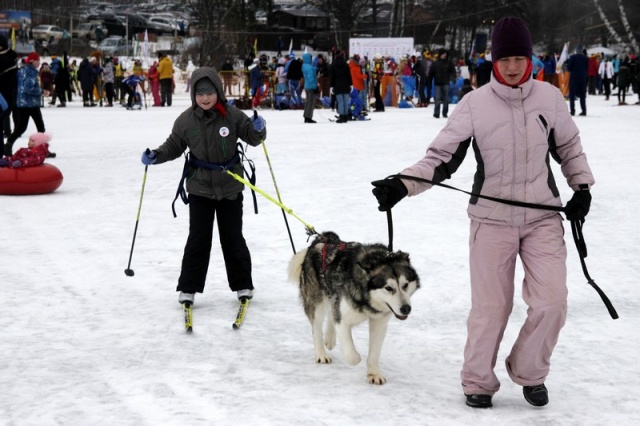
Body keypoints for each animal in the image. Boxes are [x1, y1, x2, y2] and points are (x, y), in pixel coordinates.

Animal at [288, 231, 420, 384]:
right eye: (388, 288)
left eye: (405, 285)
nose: (406, 309)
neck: (366, 299)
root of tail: (322, 238)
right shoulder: (343, 318)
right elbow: (352, 355)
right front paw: (356, 358)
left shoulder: (379, 321)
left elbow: (374, 352)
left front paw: (374, 373)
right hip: (316, 301)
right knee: (317, 328)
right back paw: (321, 354)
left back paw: (329, 338)